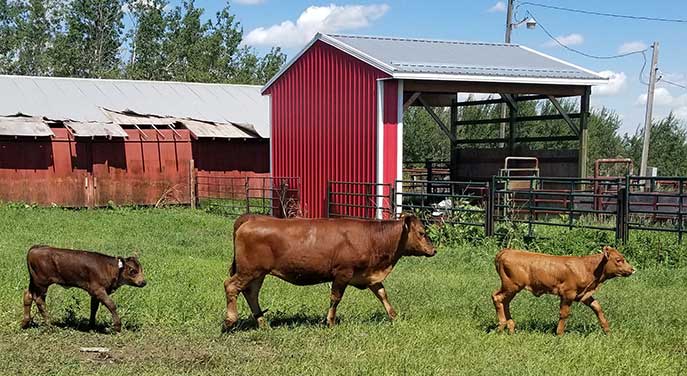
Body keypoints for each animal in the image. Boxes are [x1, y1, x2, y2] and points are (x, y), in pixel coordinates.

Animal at [223, 213, 436, 330]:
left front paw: (394, 317)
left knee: (251, 293)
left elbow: (383, 294)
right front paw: (330, 322)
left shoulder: (369, 276)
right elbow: (335, 298)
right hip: (249, 270)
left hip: (257, 273)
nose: (433, 250)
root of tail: (251, 218)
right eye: (422, 233)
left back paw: (263, 323)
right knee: (230, 286)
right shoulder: (343, 273)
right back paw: (230, 320)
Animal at [494, 245, 636, 336]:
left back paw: (510, 328)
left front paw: (607, 331)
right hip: (511, 286)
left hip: (511, 288)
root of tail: (506, 251)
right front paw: (560, 334)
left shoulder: (583, 295)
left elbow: (597, 307)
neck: (587, 268)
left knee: (505, 302)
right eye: (618, 260)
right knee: (497, 298)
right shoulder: (568, 294)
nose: (632, 269)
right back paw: (501, 326)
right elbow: (564, 313)